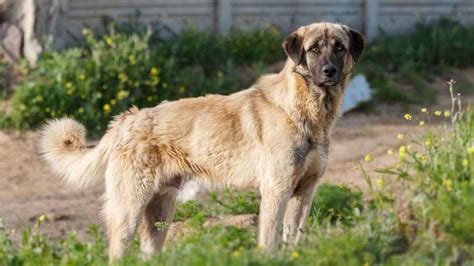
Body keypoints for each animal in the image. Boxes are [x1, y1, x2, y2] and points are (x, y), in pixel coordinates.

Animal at [40, 21, 366, 260]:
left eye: (339, 47)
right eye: (313, 49)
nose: (329, 71)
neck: (304, 109)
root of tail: (127, 119)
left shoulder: (305, 192)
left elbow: (293, 236)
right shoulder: (277, 190)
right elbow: (271, 239)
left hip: (159, 216)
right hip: (128, 210)